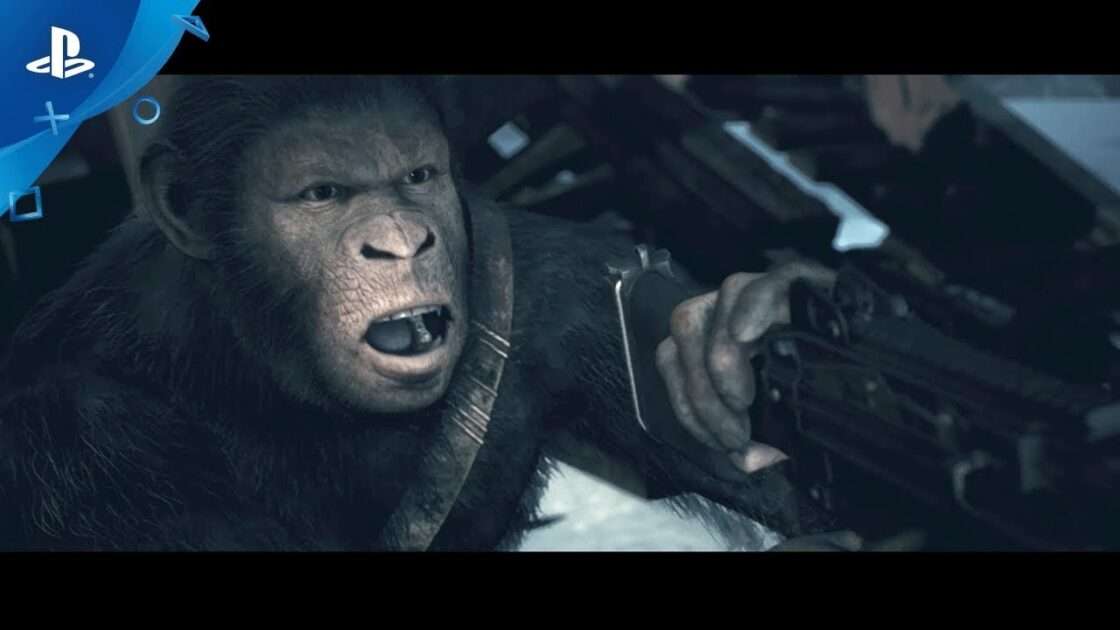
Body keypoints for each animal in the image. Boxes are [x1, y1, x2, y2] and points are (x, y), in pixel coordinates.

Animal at [0, 76, 849, 551]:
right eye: (322, 194)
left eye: (416, 176)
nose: (401, 241)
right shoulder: (78, 434)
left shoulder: (570, 298)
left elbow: (800, 511)